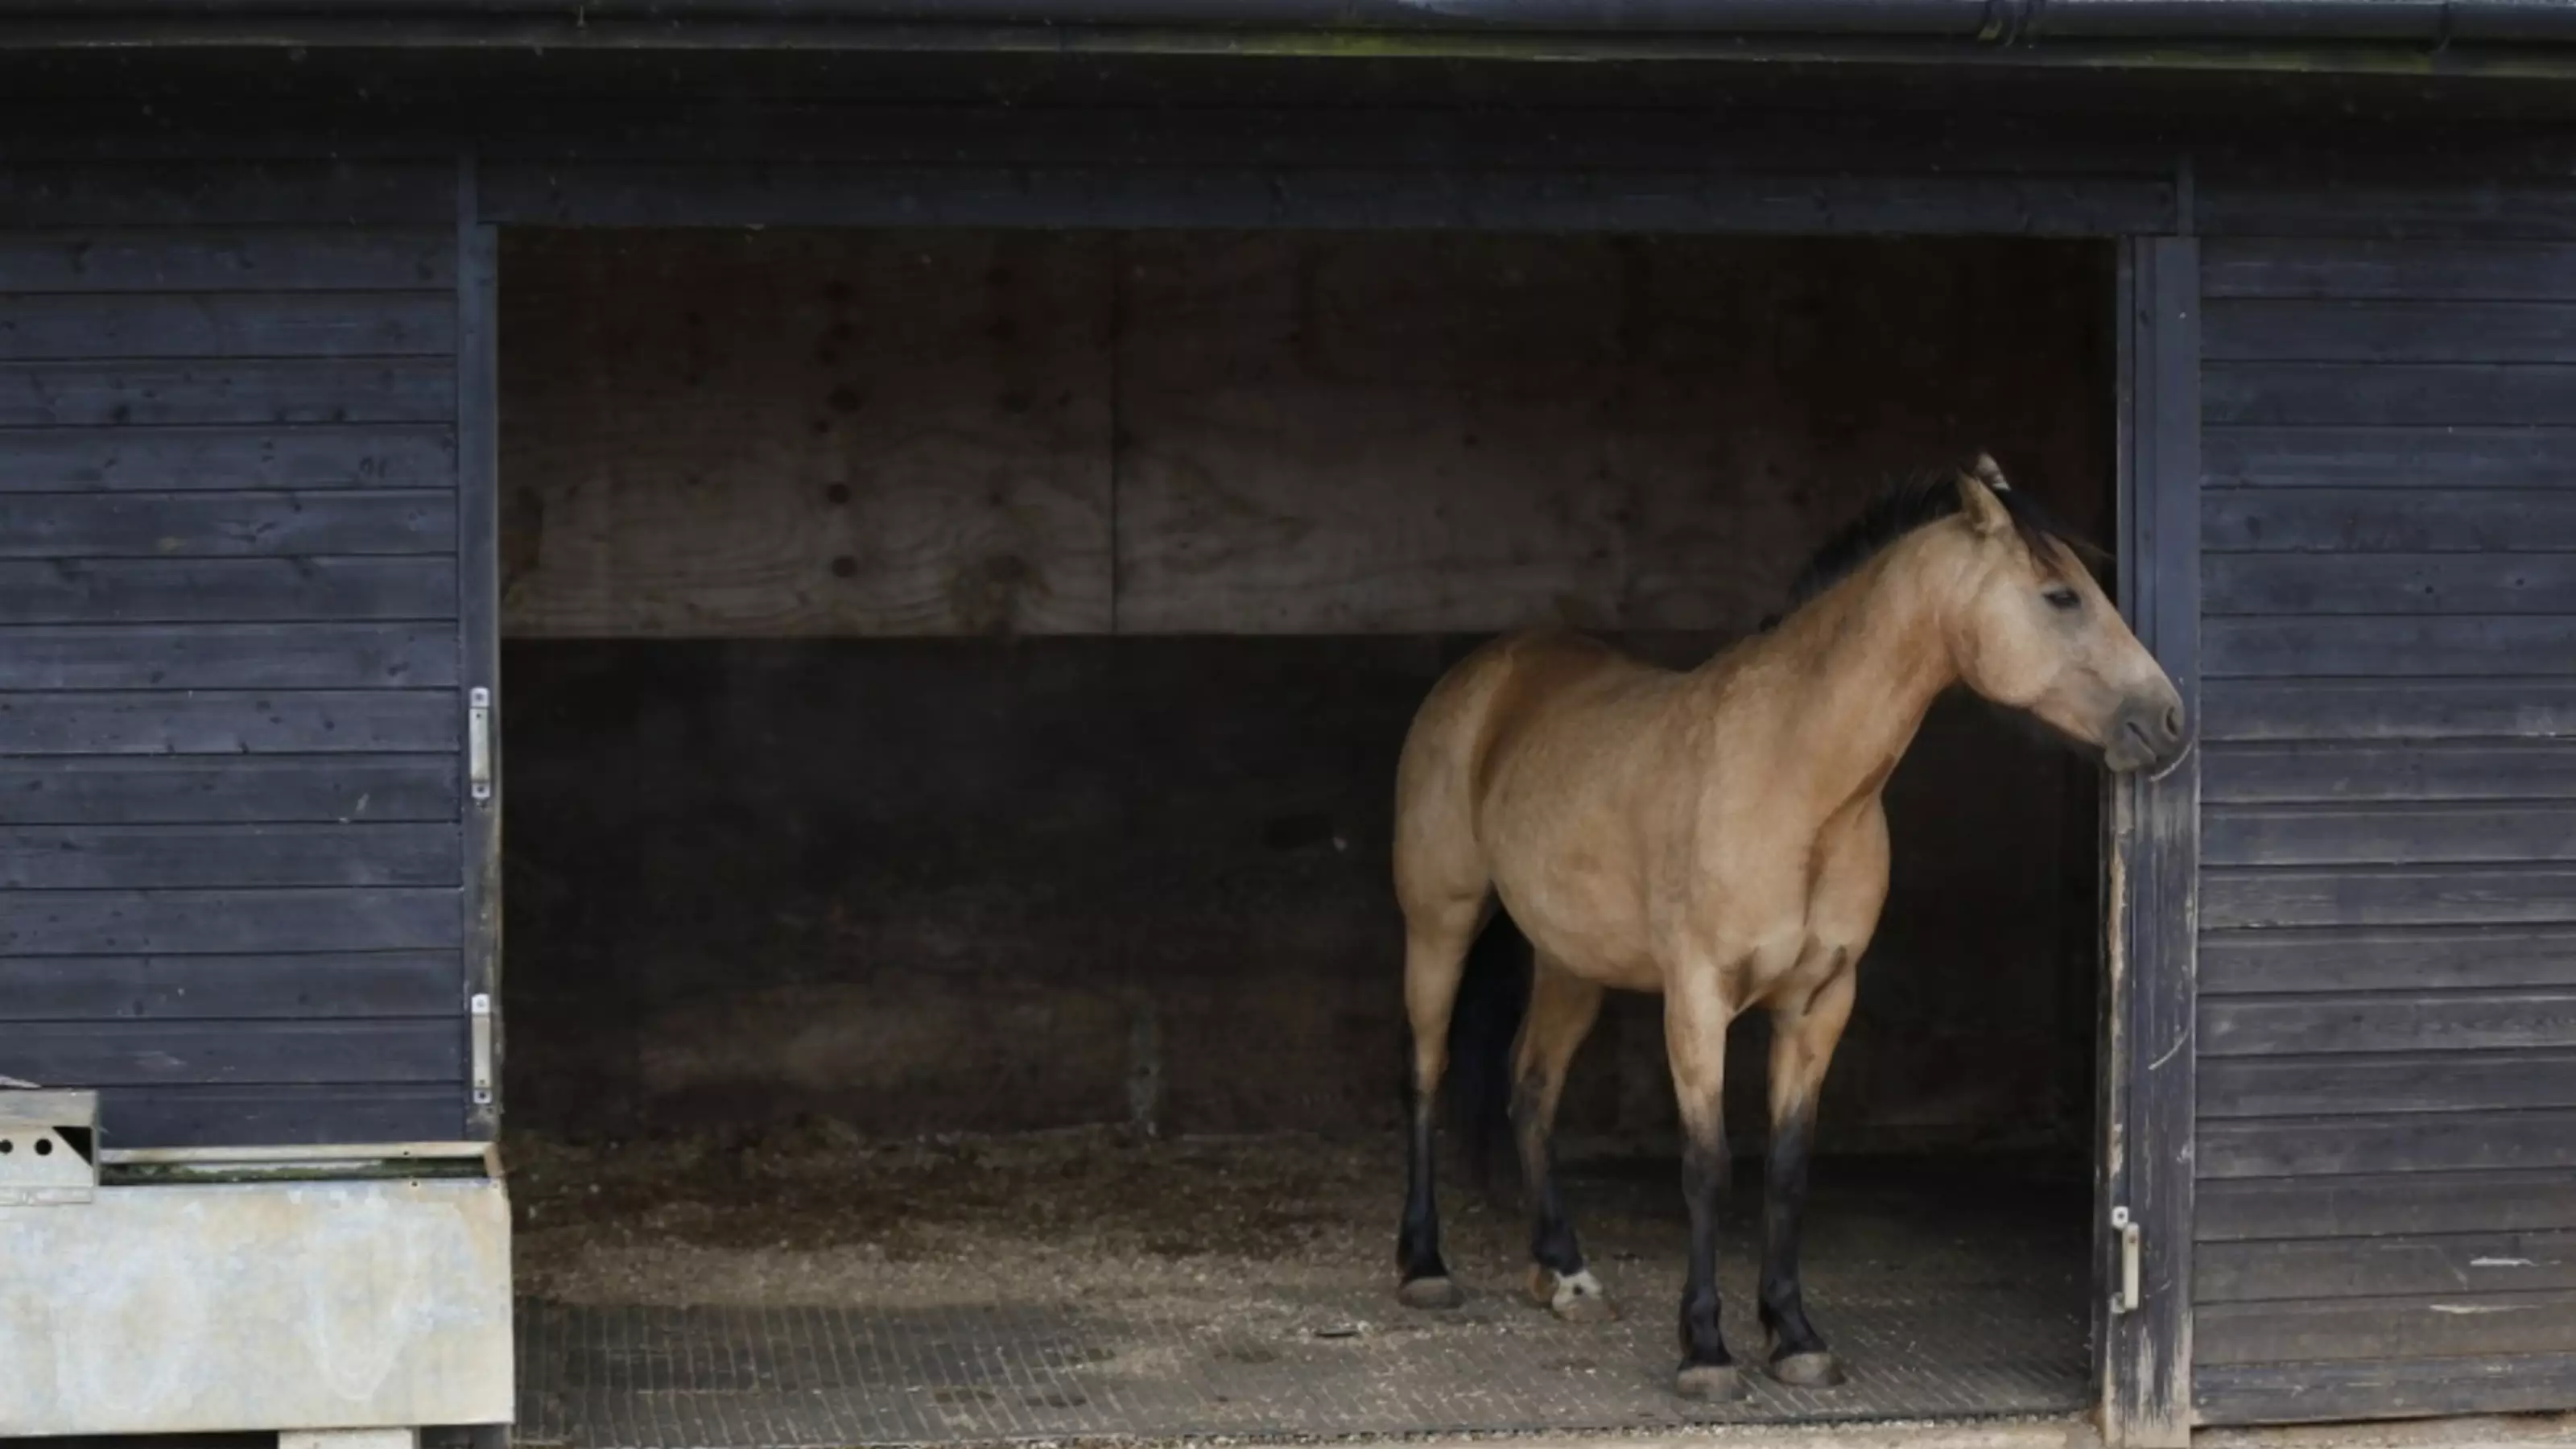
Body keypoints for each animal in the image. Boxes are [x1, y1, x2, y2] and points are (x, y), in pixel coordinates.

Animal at [1391, 456, 2174, 1392]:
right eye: (2061, 596)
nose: (2167, 721)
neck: (1795, 778)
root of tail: (1486, 672)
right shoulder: (1697, 999)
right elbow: (1706, 1168)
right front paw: (1704, 1351)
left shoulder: (1818, 1001)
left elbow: (1789, 1169)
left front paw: (1794, 1335)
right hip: (1440, 925)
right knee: (1427, 1073)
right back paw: (1424, 1266)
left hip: (1568, 962)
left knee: (1529, 1087)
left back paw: (1566, 1274)